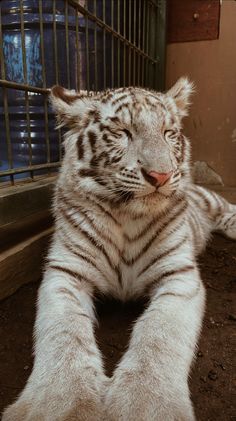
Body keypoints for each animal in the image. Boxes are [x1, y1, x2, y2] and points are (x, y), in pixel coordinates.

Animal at [3, 79, 236, 420]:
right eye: (122, 132)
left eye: (168, 132)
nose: (161, 175)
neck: (127, 216)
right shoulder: (65, 273)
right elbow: (63, 333)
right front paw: (61, 405)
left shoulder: (179, 276)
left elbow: (159, 334)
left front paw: (143, 407)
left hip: (210, 200)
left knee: (228, 208)